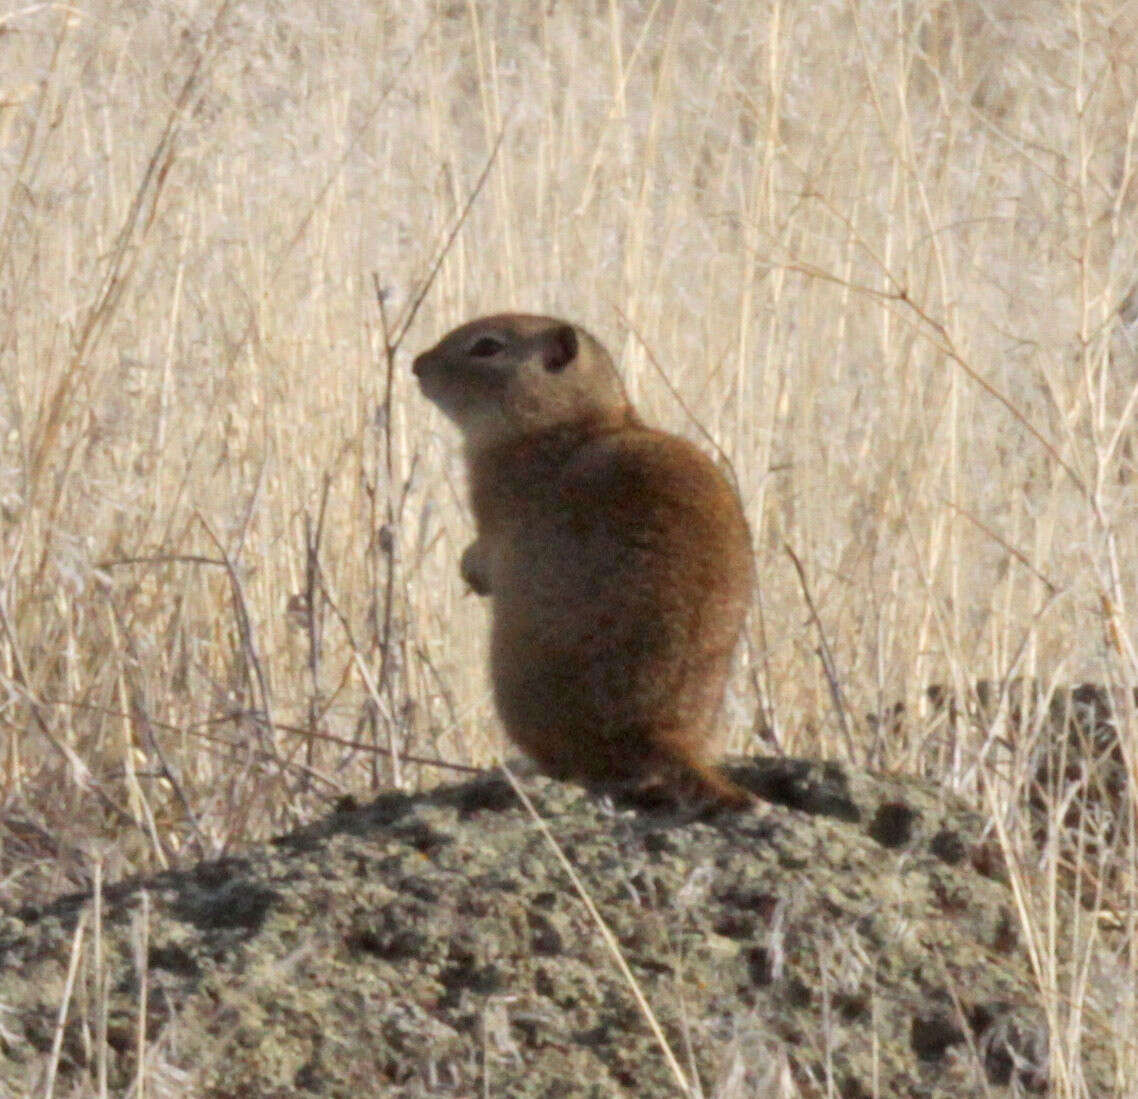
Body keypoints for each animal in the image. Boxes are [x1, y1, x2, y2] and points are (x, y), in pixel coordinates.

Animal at [416, 314, 755, 814]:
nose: (416, 365)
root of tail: (660, 734)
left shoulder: (495, 505)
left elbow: (488, 550)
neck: (575, 419)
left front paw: (470, 571)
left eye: (487, 346)